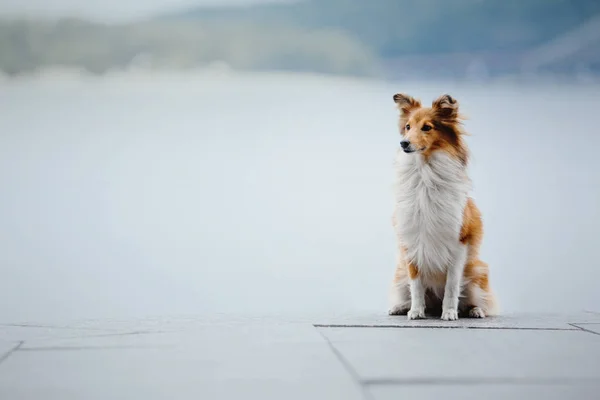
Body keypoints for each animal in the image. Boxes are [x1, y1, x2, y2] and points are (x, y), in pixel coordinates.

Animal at [390, 92, 496, 320]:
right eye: (408, 127)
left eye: (427, 127)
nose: (403, 143)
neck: (425, 172)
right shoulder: (411, 242)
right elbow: (416, 284)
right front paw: (415, 311)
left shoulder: (458, 243)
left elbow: (452, 285)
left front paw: (449, 313)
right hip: (400, 275)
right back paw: (401, 307)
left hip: (477, 271)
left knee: (477, 300)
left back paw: (474, 310)